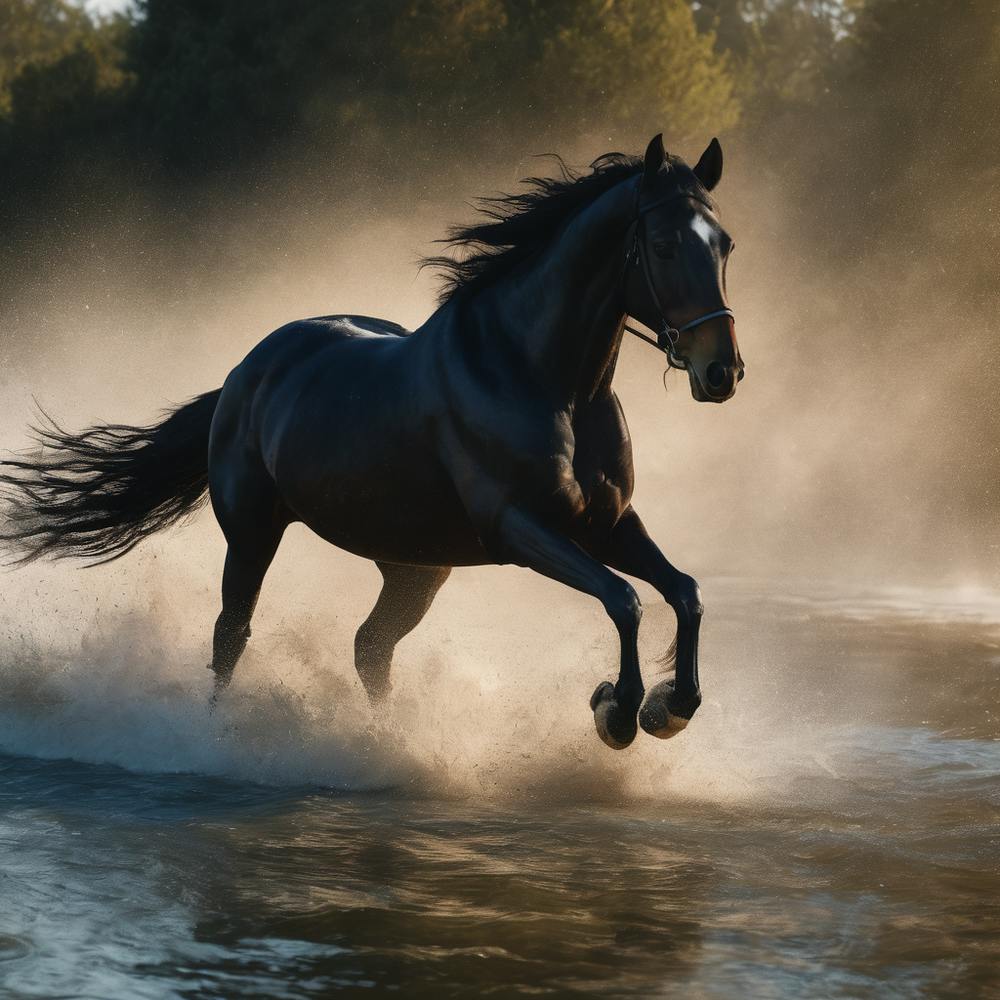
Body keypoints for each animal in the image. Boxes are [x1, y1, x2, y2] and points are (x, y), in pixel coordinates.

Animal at [0, 134, 743, 750]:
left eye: (725, 244)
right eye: (665, 245)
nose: (721, 372)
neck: (542, 380)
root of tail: (244, 372)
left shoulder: (608, 524)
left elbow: (684, 593)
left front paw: (669, 707)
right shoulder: (519, 527)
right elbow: (624, 599)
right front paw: (616, 710)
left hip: (416, 565)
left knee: (369, 649)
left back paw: (387, 744)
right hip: (253, 533)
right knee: (232, 634)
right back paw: (216, 740)